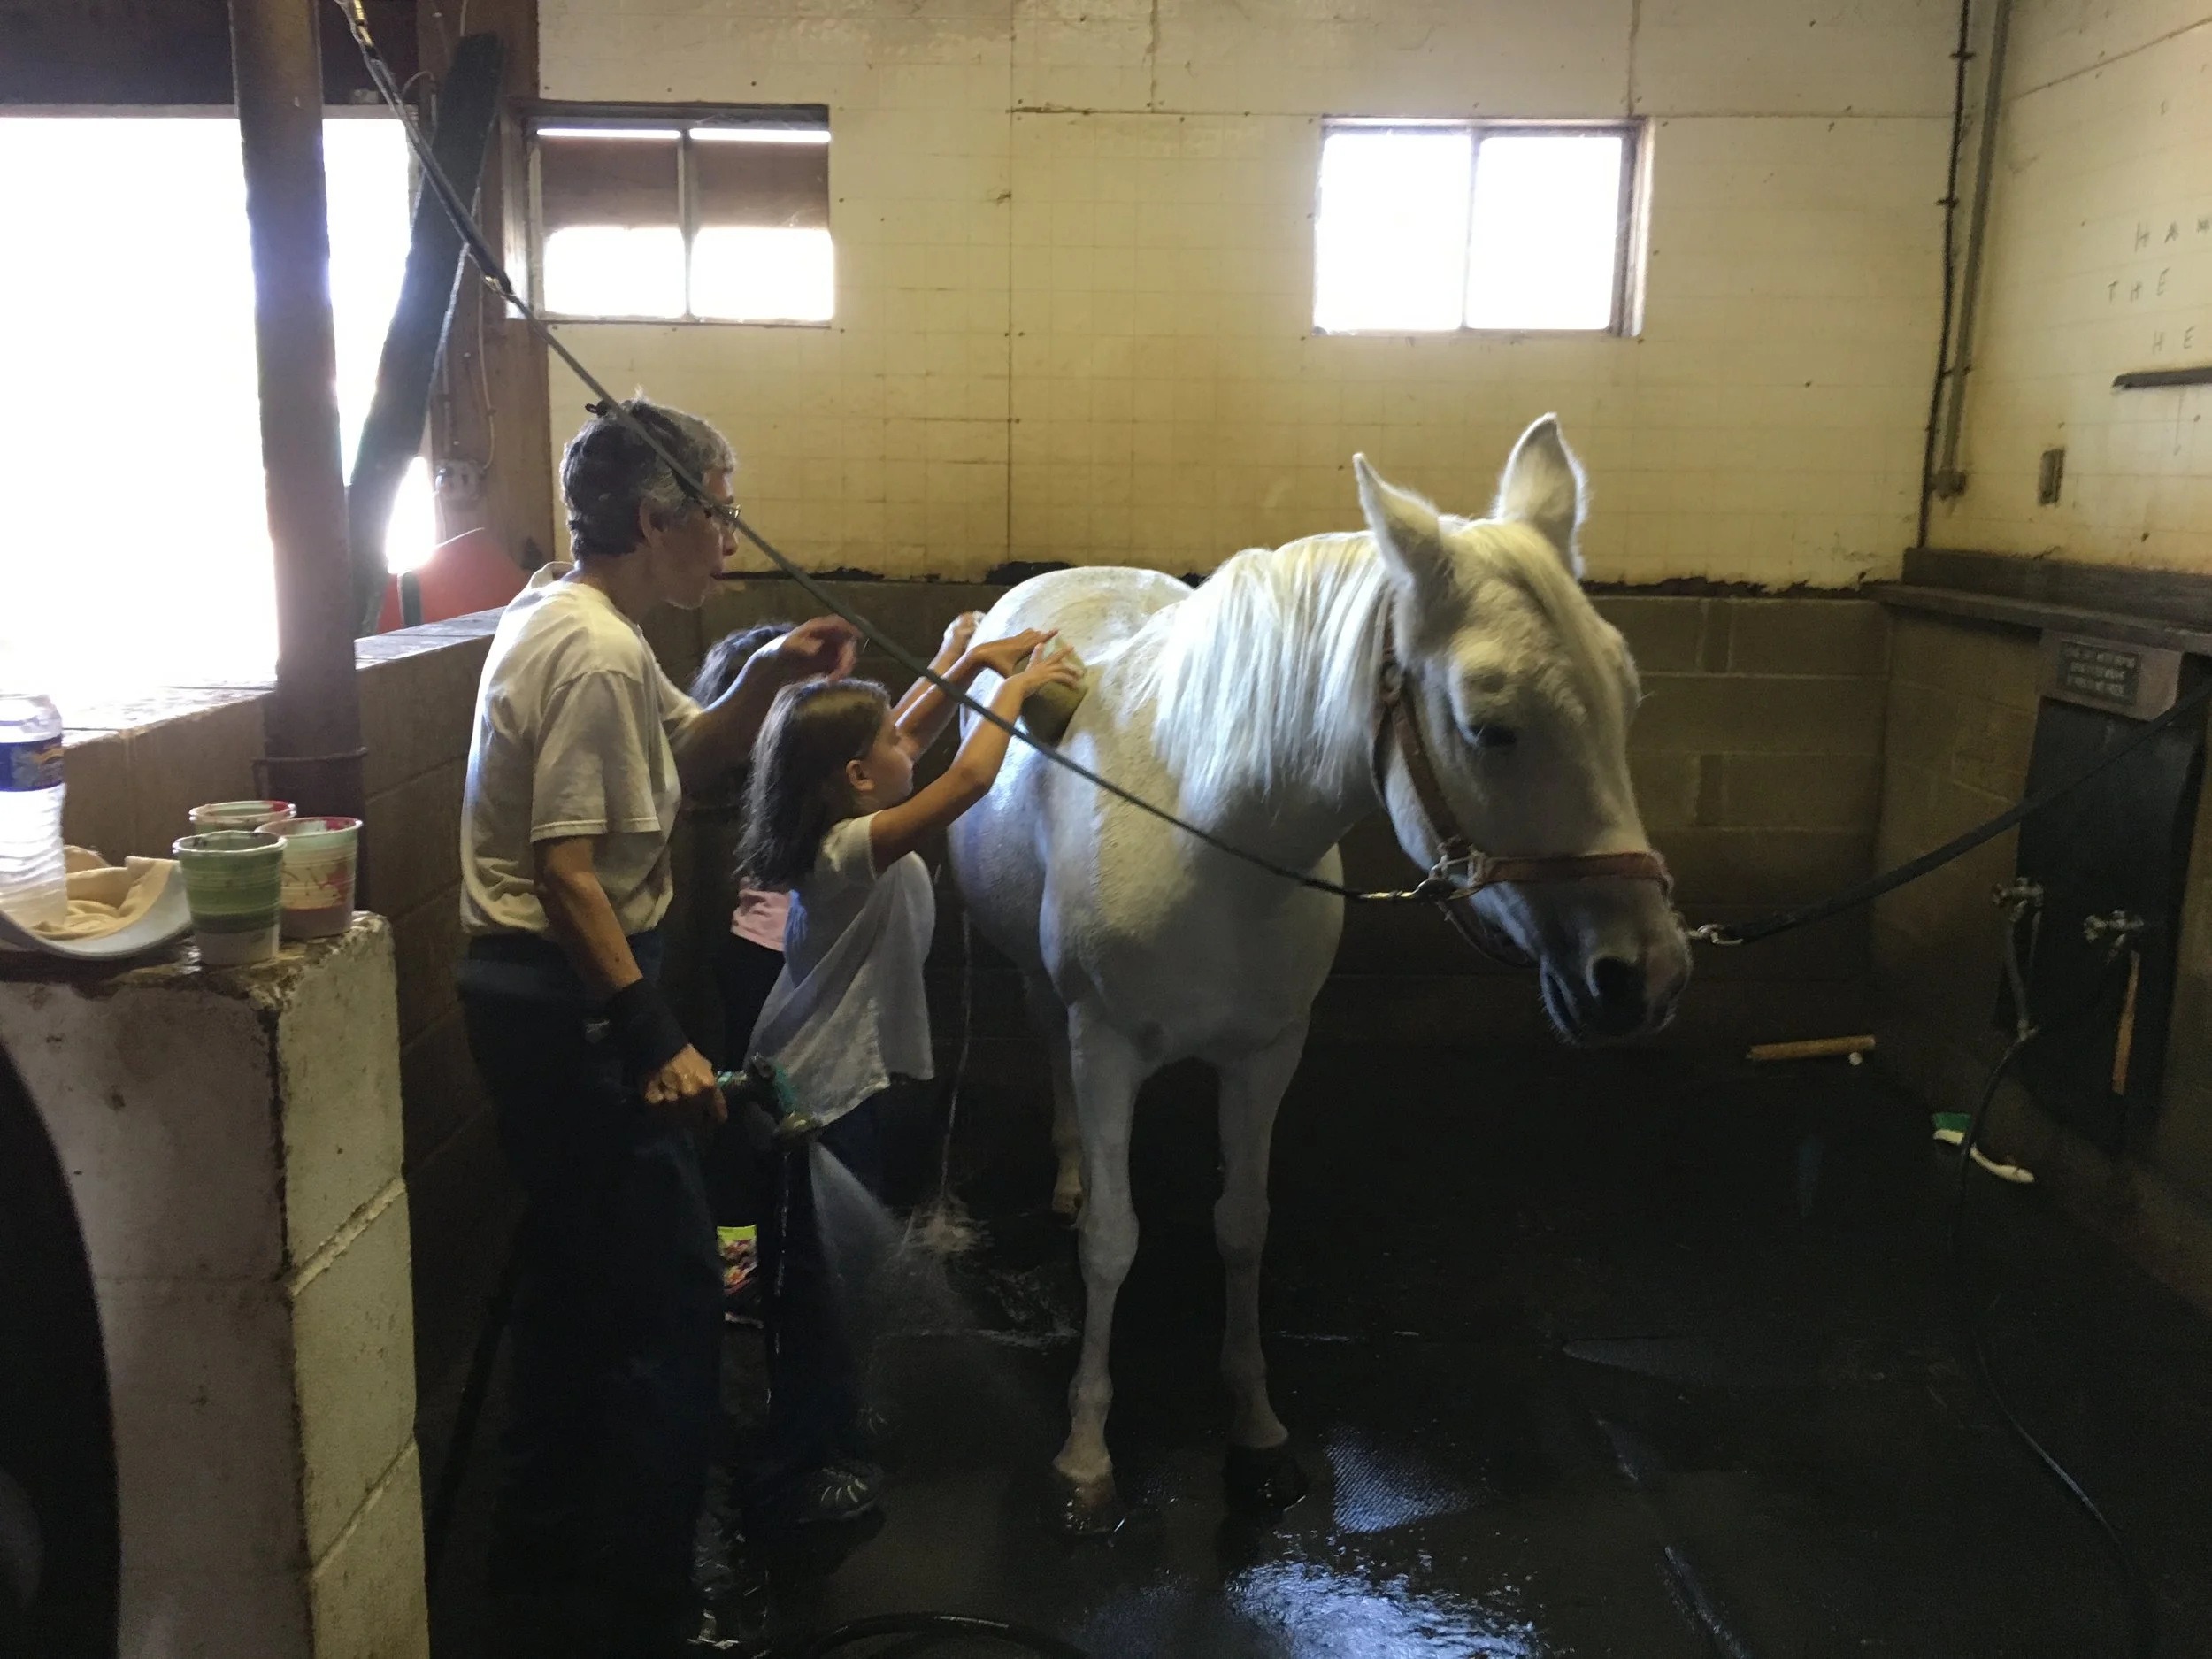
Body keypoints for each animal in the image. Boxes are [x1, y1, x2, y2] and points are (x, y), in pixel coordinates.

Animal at [946, 416, 1691, 1532]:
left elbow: (1243, 1228)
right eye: (1489, 726)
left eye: (1629, 697)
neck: (1206, 834)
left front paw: (1257, 1432)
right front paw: (1085, 1456)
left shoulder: (1267, 1052)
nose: (1640, 975)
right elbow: (1113, 1244)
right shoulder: (1106, 1045)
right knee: (1049, 1046)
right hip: (1049, 997)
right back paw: (1071, 1172)